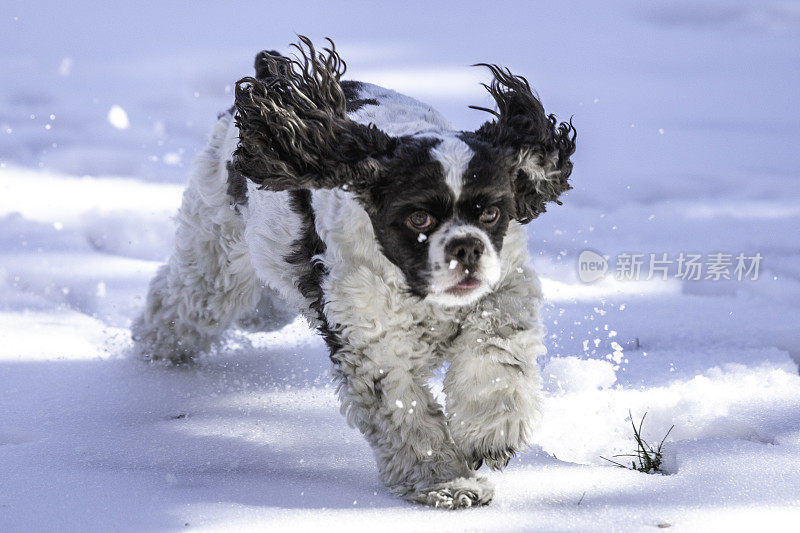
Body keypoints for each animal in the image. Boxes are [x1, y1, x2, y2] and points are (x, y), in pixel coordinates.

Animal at [134, 35, 580, 510]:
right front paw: (444, 482)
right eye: (419, 217)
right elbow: (405, 412)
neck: (419, 293)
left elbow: (495, 352)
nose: (467, 247)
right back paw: (155, 350)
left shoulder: (504, 288)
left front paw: (490, 433)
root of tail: (271, 78)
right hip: (217, 244)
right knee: (187, 300)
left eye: (492, 212)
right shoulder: (370, 342)